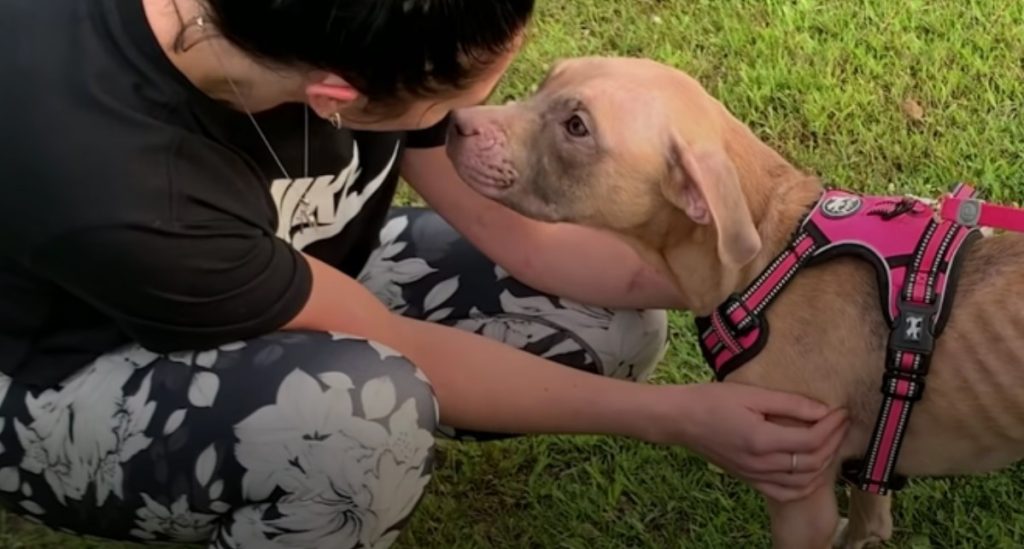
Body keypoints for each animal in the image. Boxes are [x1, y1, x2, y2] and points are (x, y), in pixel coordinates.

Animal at [450, 56, 1024, 549]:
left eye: (576, 127)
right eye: (546, 80)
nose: (454, 122)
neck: (771, 253)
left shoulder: (798, 495)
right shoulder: (875, 455)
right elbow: (868, 516)